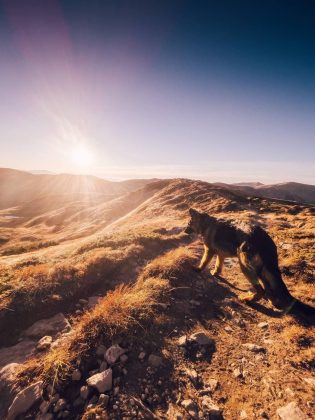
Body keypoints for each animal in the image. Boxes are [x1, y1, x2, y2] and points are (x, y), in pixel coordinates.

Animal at [185, 208, 315, 316]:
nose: (185, 231)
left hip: (245, 265)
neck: (206, 224)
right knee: (267, 289)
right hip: (262, 270)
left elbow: (204, 261)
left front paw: (198, 269)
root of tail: (263, 239)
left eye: (189, 223)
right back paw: (271, 301)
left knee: (261, 290)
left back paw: (247, 299)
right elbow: (218, 264)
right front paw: (216, 273)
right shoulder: (221, 255)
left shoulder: (209, 251)